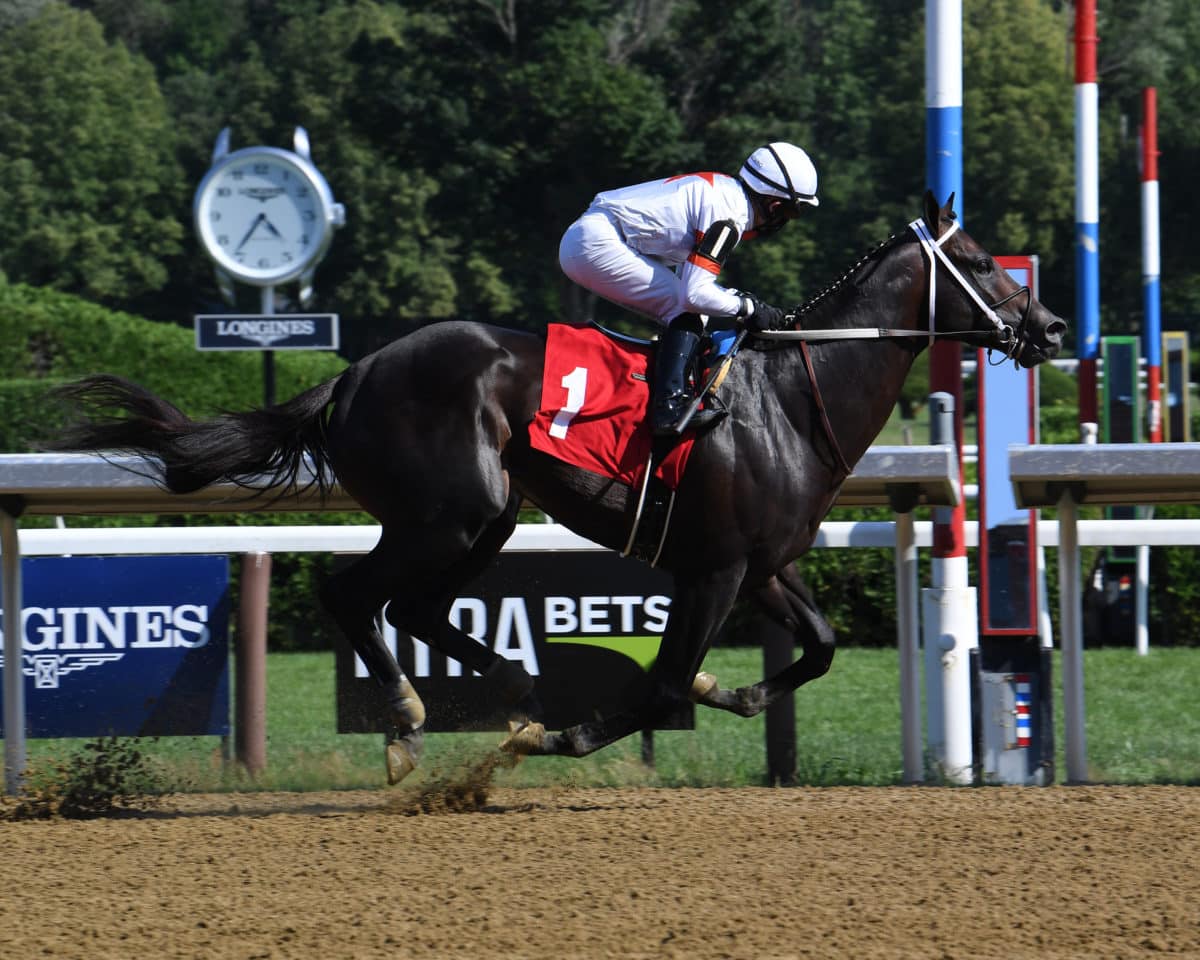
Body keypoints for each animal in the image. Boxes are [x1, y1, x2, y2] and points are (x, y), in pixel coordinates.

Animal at [49, 193, 1060, 777]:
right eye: (979, 263)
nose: (1048, 325)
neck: (789, 399)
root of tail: (355, 372)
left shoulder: (764, 563)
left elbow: (816, 648)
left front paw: (726, 693)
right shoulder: (714, 570)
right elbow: (661, 681)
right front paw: (574, 736)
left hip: (487, 514)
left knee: (414, 608)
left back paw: (504, 685)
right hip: (449, 515)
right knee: (355, 595)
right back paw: (414, 723)